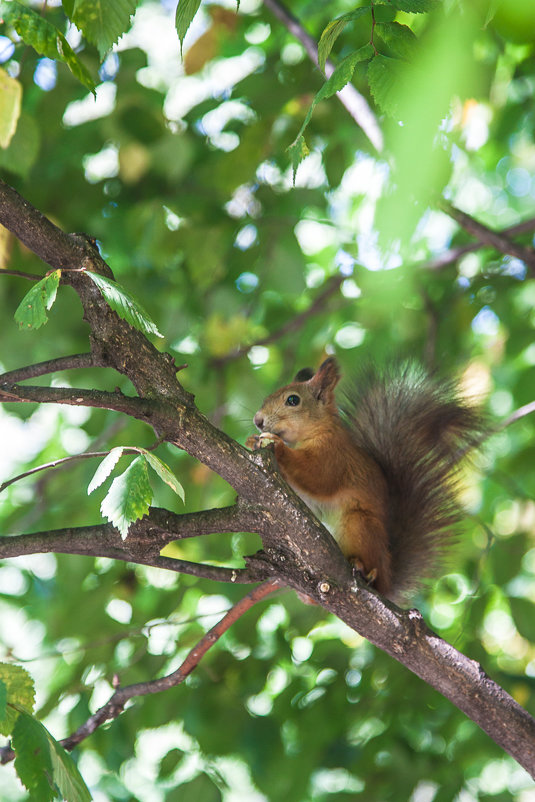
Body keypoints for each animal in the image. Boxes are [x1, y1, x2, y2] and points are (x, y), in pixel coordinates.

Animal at [248, 358, 486, 600]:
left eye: (293, 400)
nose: (258, 420)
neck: (318, 430)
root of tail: (389, 578)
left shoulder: (334, 457)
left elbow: (318, 477)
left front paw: (277, 446)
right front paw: (252, 441)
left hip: (359, 524)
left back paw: (363, 569)